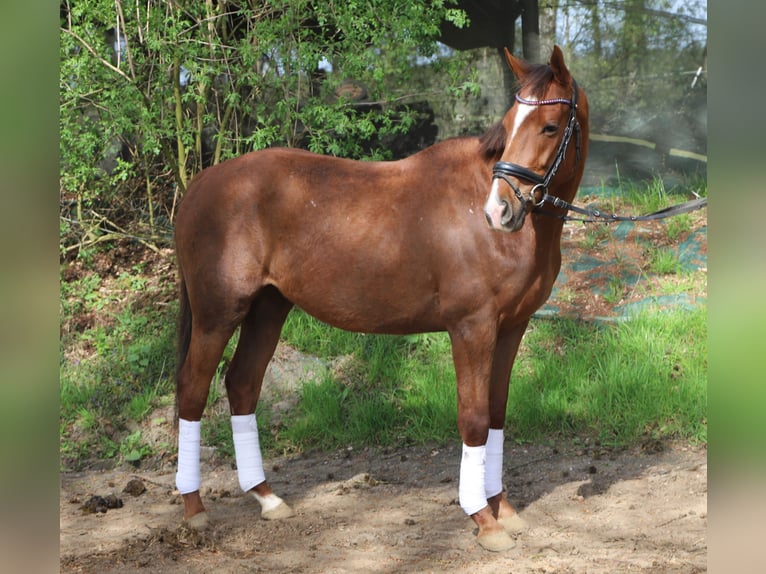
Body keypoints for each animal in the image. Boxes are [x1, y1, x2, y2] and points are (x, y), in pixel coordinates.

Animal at [173, 45, 589, 552]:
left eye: (549, 126)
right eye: (509, 125)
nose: (500, 210)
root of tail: (200, 184)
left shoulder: (511, 327)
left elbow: (496, 414)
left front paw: (503, 509)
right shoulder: (472, 328)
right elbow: (473, 418)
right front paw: (484, 521)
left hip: (268, 309)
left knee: (242, 385)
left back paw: (267, 498)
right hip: (218, 314)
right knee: (193, 391)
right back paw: (194, 510)